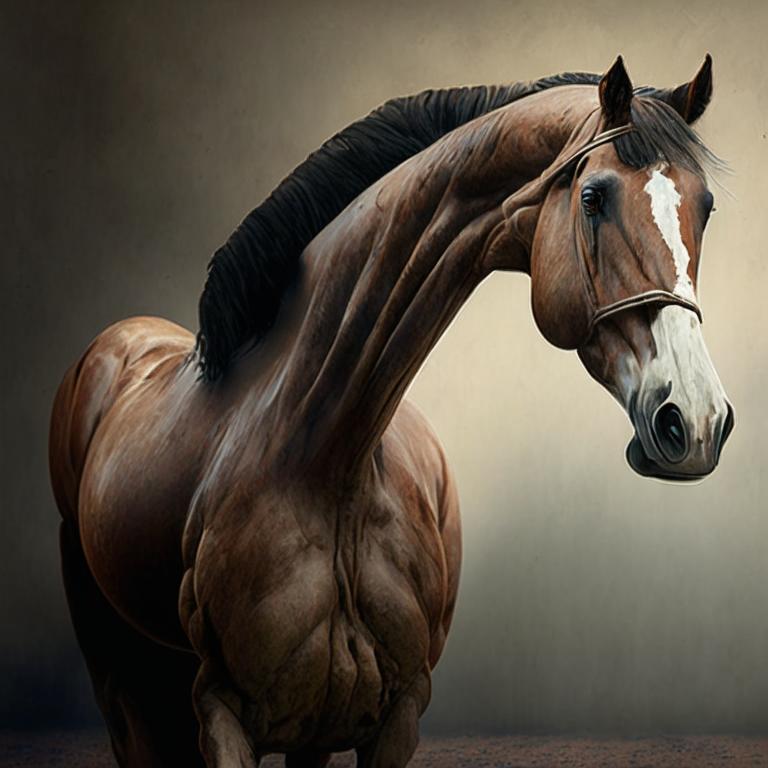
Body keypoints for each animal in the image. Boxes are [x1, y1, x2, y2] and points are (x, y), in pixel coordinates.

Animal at [49, 55, 734, 767]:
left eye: (705, 207)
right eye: (594, 197)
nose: (697, 420)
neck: (324, 457)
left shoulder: (393, 715)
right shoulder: (220, 710)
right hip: (119, 673)